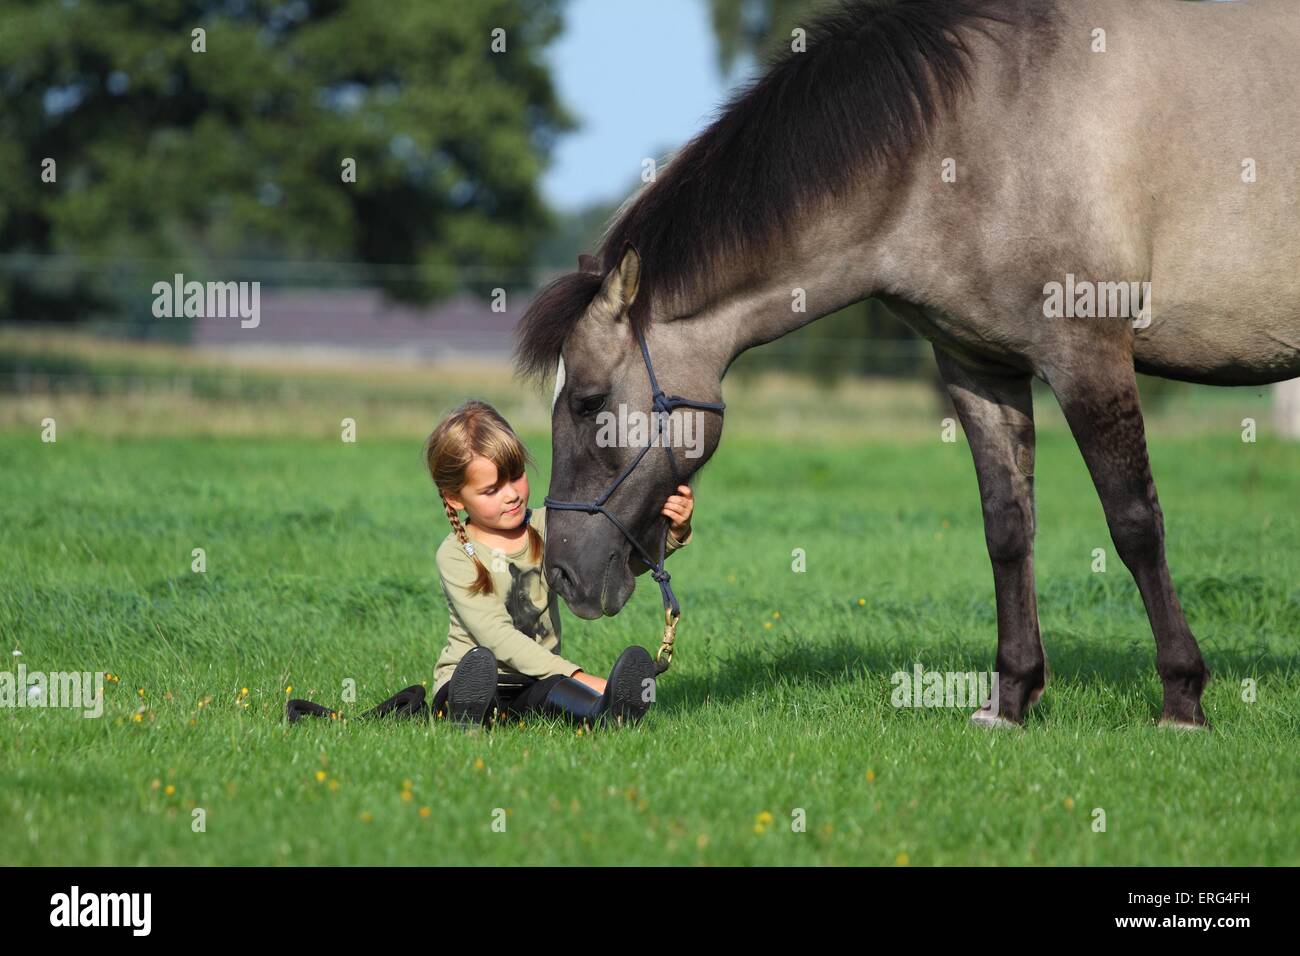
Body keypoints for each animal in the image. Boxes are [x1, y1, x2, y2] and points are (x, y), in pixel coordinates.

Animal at [509, 0, 1300, 728]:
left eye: (587, 400)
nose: (564, 573)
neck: (973, 134)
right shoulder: (977, 366)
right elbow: (1007, 527)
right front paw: (1010, 698)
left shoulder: (1088, 354)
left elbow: (1134, 522)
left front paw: (1182, 698)